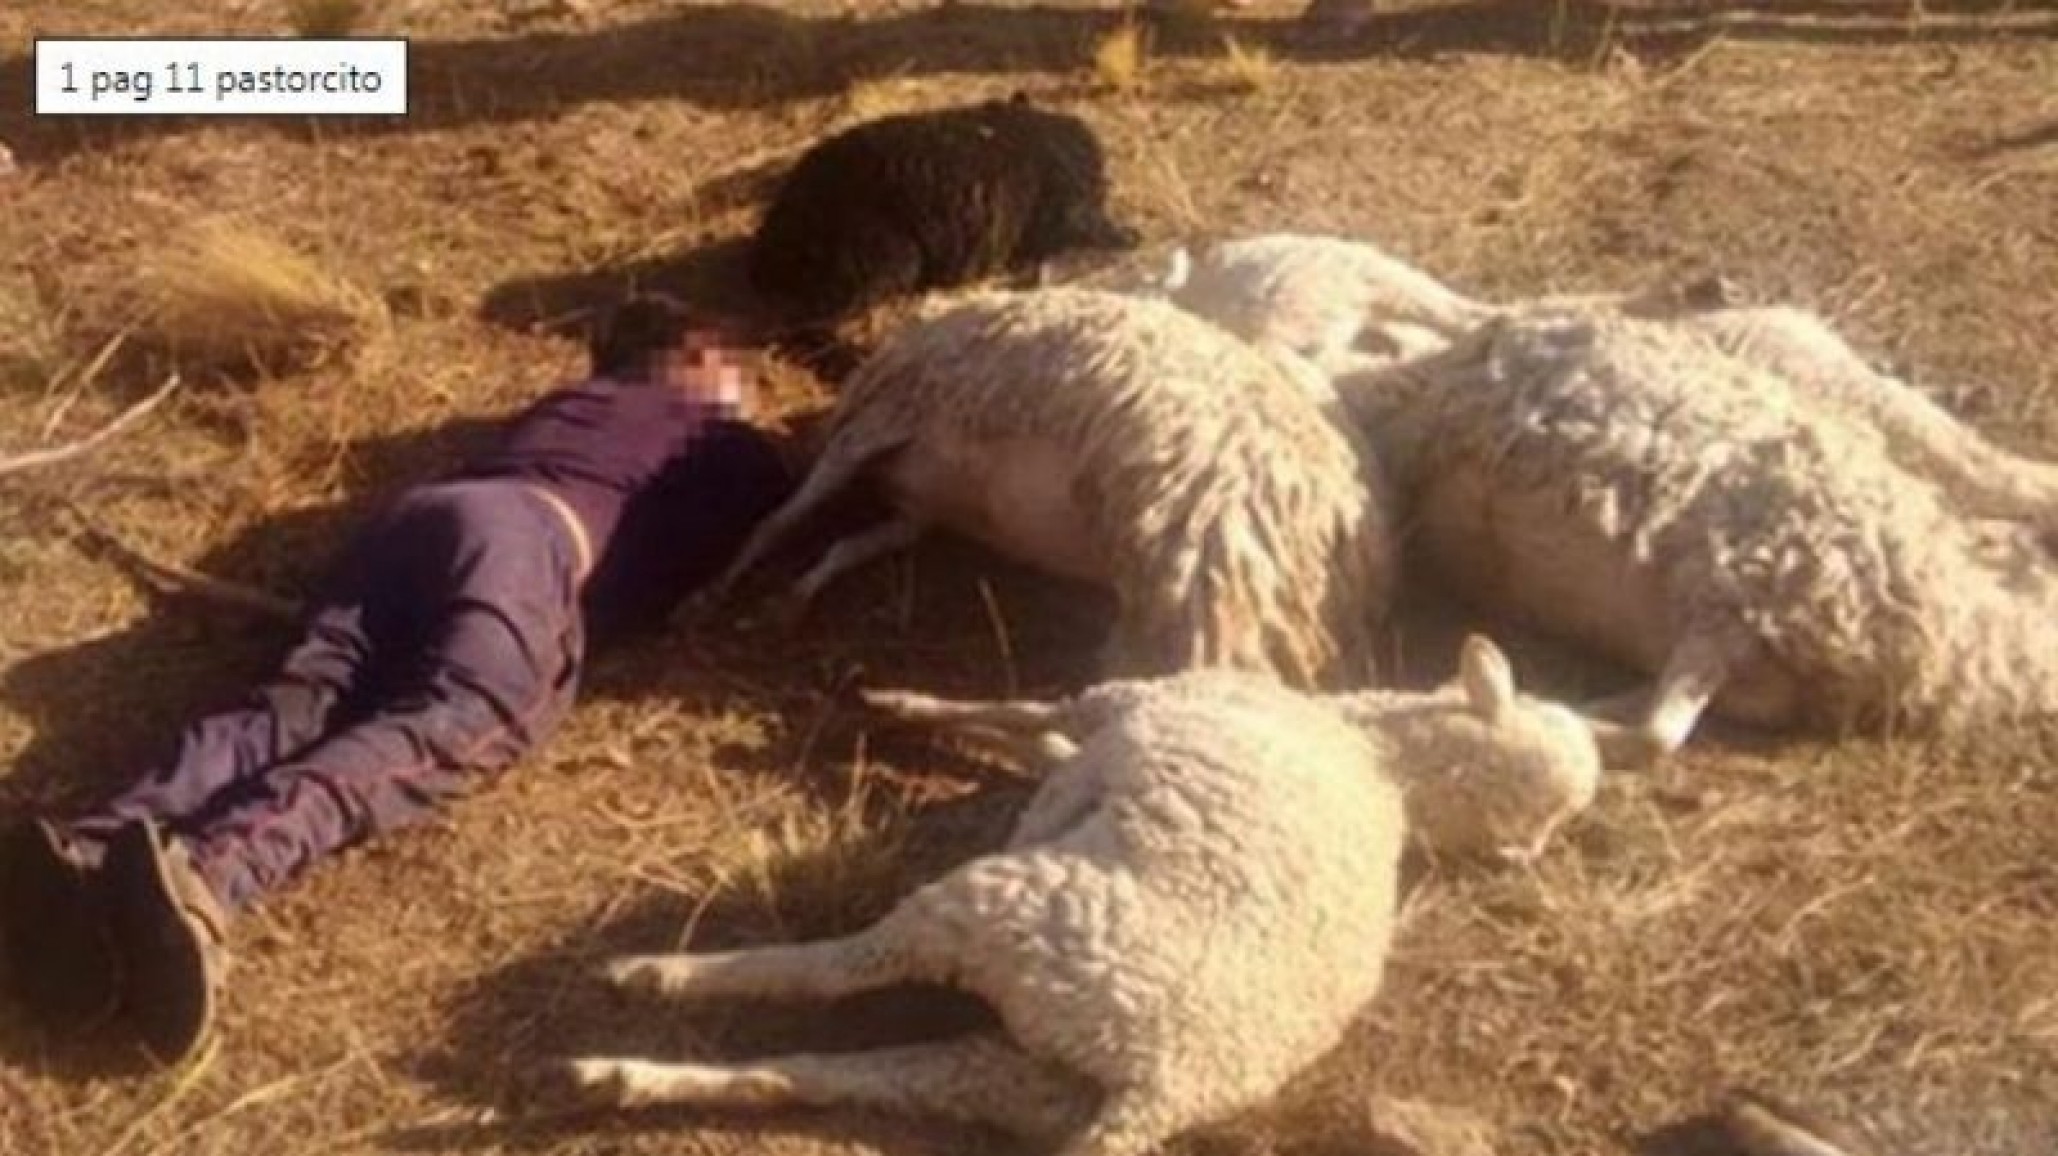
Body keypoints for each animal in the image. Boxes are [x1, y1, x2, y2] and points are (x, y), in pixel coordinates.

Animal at [558, 636, 1601, 1156]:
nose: (1523, 859)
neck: (1380, 756)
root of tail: (1167, 1092)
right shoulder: (1111, 725)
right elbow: (1042, 750)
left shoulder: (1121, 699)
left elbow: (1026, 714)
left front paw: (907, 706)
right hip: (1024, 1079)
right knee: (813, 1075)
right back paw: (624, 1079)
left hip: (1006, 913)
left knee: (829, 975)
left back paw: (656, 977)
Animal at [714, 286, 1398, 691]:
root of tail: (1337, 528)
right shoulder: (914, 506)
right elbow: (843, 544)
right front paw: (786, 599)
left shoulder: (878, 422)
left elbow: (779, 519)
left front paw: (728, 589)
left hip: (1200, 577)